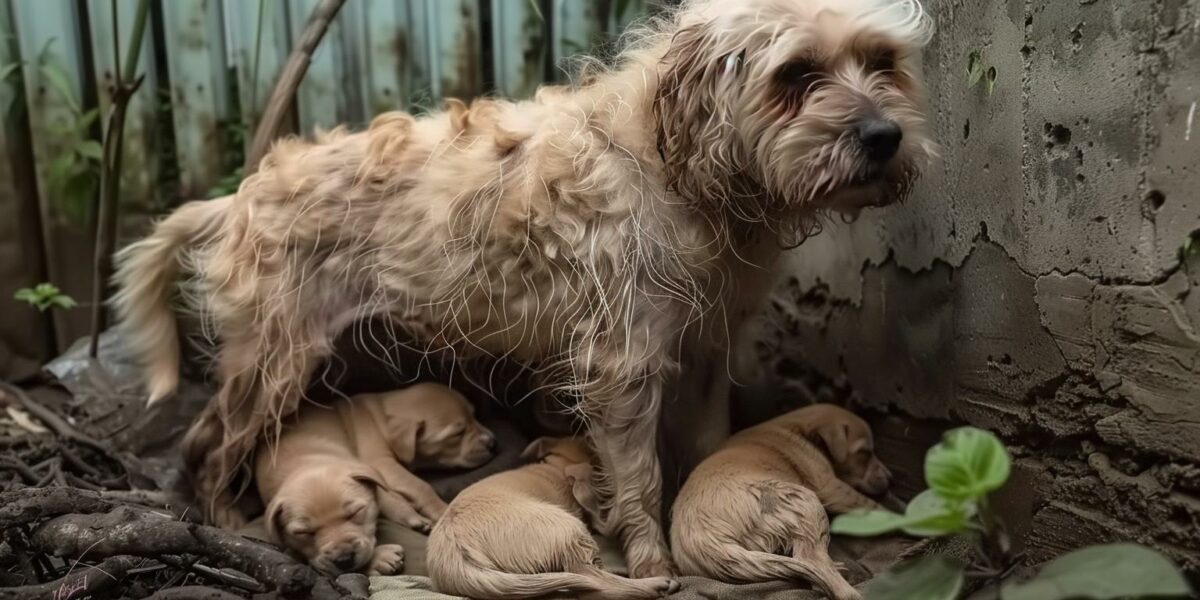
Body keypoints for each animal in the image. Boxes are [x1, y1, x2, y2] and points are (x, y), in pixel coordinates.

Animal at [253, 384, 496, 576]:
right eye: (457, 434)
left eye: (475, 416)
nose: (493, 442)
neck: (380, 415)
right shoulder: (382, 464)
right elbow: (419, 486)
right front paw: (439, 511)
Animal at [672, 403, 888, 600]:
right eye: (864, 453)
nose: (890, 477)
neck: (797, 428)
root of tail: (704, 540)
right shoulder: (829, 485)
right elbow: (871, 505)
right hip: (804, 500)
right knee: (812, 561)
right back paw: (849, 589)